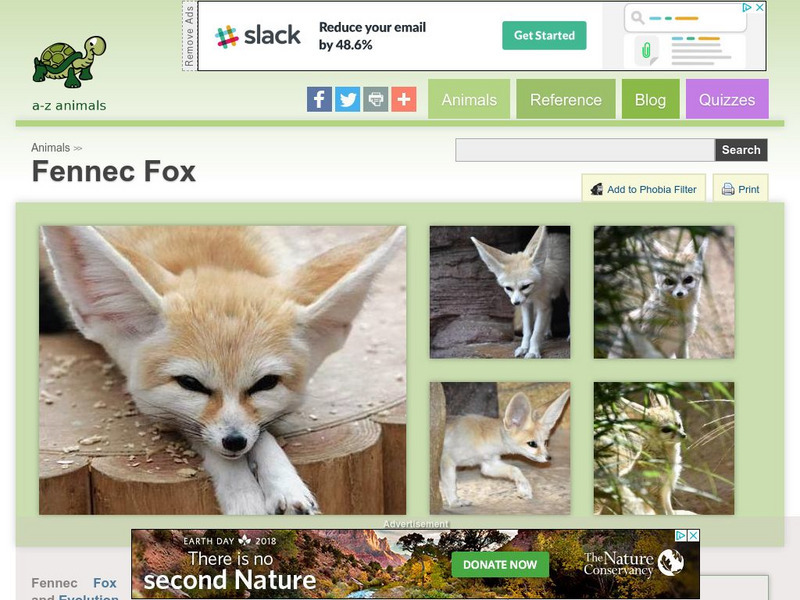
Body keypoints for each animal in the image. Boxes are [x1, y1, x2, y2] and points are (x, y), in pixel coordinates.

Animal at [40, 225, 405, 515]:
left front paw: (284, 484)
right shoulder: (160, 410)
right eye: (190, 383)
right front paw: (243, 496)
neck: (214, 250)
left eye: (265, 383)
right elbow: (201, 435)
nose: (234, 441)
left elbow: (262, 433)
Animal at [440, 388, 570, 508]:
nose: (549, 458)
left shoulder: (488, 464)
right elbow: (450, 484)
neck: (483, 437)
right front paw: (454, 502)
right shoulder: (446, 460)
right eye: (532, 444)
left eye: (546, 442)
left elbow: (515, 469)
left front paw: (524, 488)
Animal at [471, 227, 570, 359]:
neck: (534, 292)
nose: (516, 303)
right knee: (552, 309)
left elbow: (536, 332)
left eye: (525, 286)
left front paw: (533, 351)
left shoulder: (541, 305)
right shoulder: (527, 305)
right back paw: (547, 332)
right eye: (508, 288)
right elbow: (527, 331)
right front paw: (524, 348)